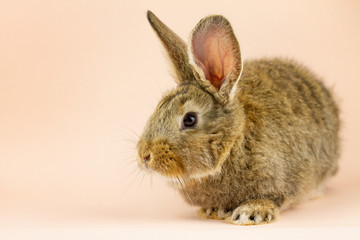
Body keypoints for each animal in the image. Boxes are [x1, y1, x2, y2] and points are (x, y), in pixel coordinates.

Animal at [136, 10, 340, 225]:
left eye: (189, 119)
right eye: (158, 108)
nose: (144, 156)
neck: (233, 143)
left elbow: (272, 198)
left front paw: (250, 213)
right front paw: (213, 210)